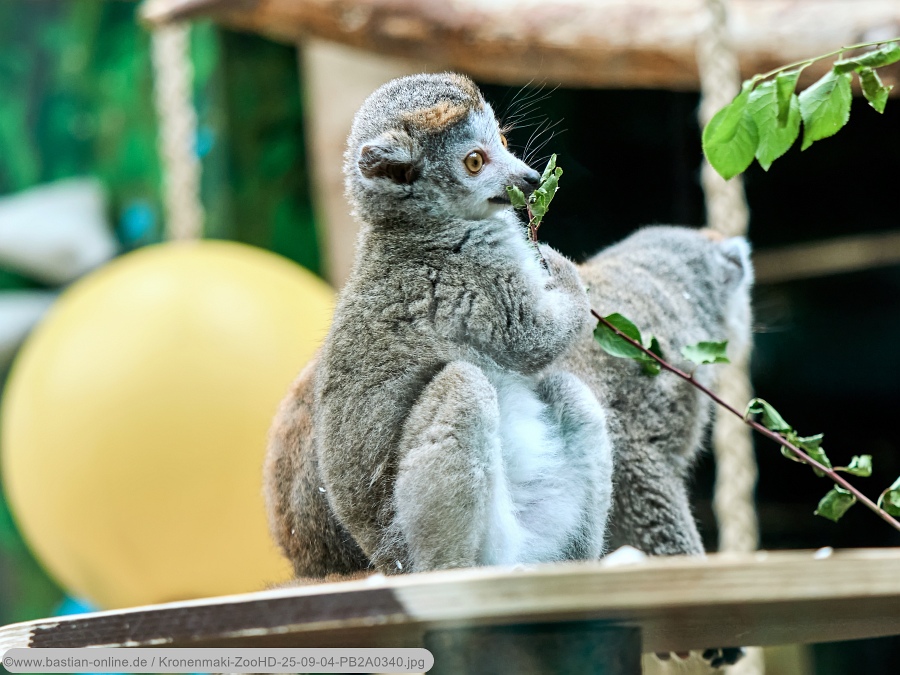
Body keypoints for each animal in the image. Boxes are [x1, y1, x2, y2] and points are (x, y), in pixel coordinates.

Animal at [265, 72, 614, 577]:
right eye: (474, 161)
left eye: (503, 140)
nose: (530, 180)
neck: (417, 226)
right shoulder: (472, 278)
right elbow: (534, 339)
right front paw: (558, 265)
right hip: (405, 540)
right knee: (462, 387)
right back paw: (456, 571)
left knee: (571, 394)